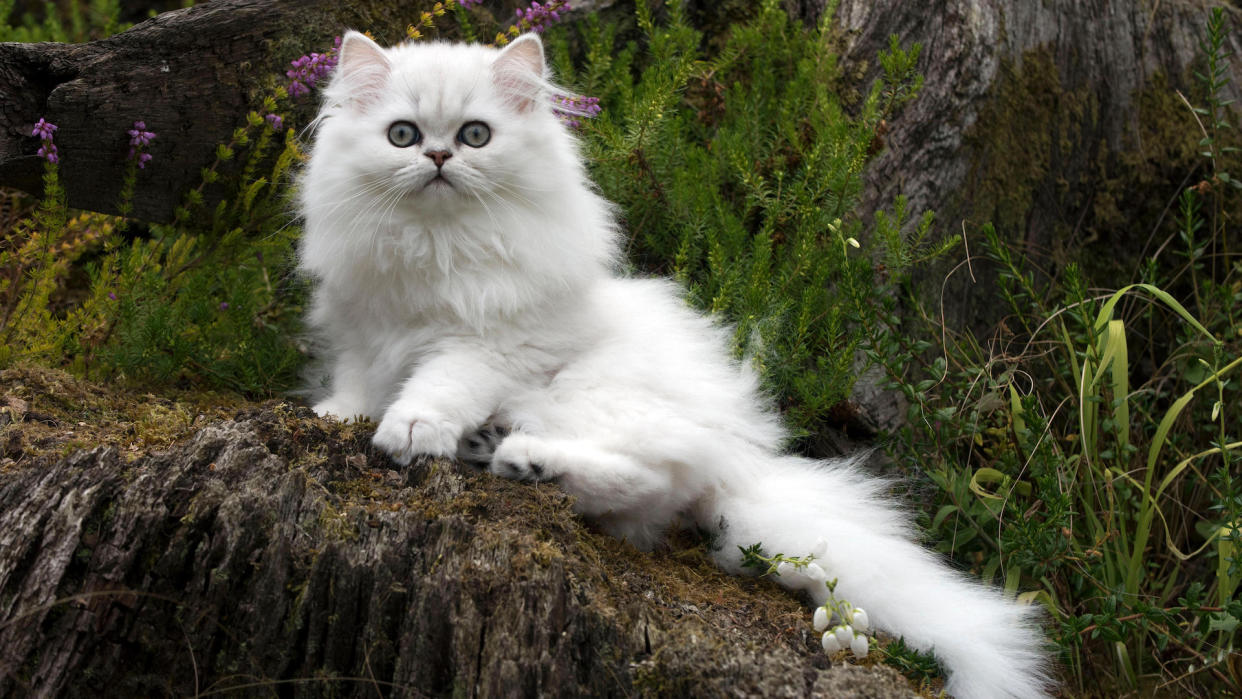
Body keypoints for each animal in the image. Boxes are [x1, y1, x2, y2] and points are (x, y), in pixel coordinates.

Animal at [295, 30, 1053, 695]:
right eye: (402, 135)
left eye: (475, 135)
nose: (439, 159)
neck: (435, 246)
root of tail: (743, 456)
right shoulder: (364, 331)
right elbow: (358, 382)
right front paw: (339, 415)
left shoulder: (494, 344)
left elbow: (439, 384)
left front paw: (411, 430)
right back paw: (495, 450)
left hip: (585, 397)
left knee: (644, 479)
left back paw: (524, 460)